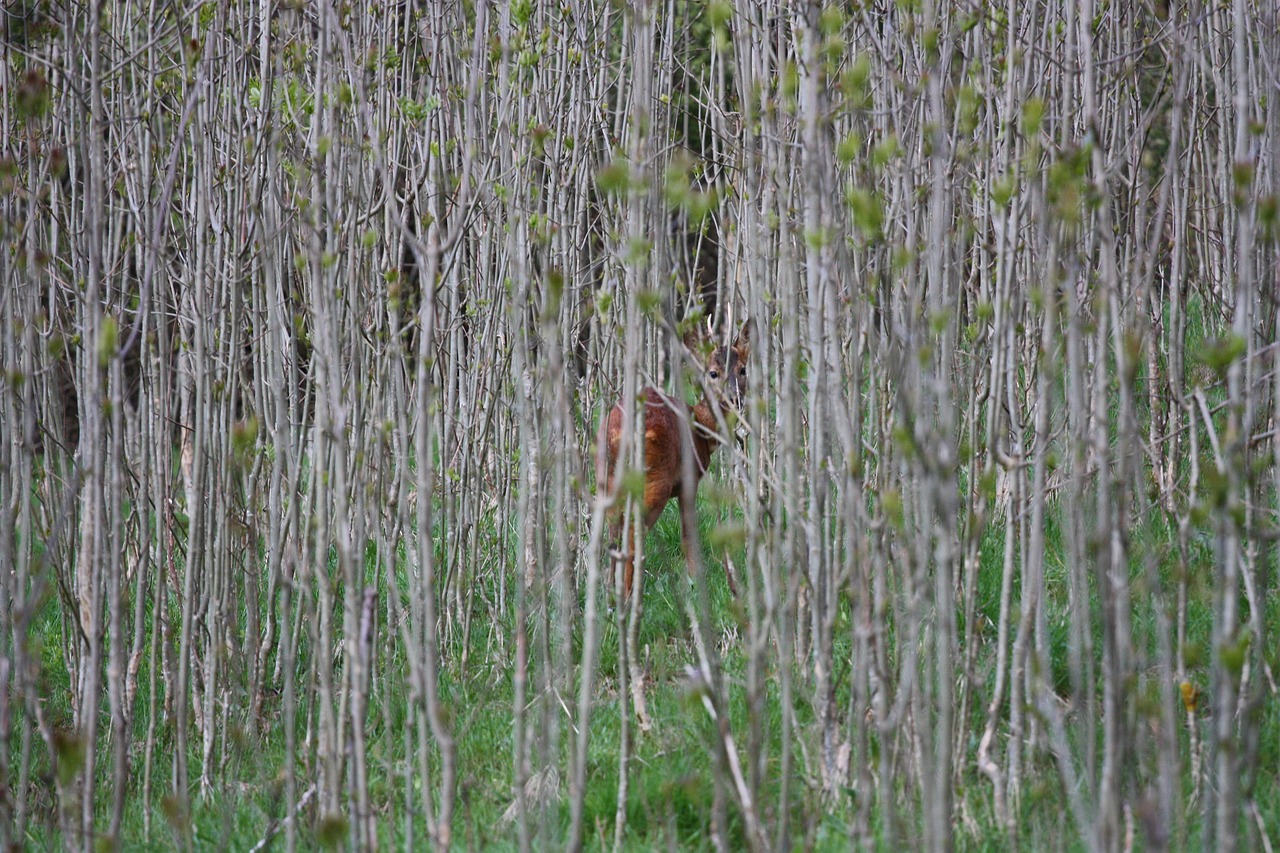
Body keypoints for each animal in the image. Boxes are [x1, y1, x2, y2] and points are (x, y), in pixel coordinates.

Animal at [596, 317, 752, 596]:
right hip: (656, 479)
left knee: (613, 527)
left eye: (742, 369)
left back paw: (610, 591)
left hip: (605, 475)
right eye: (713, 373)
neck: (702, 429)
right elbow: (688, 533)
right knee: (633, 530)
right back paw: (628, 593)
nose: (735, 399)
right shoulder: (689, 479)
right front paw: (695, 580)